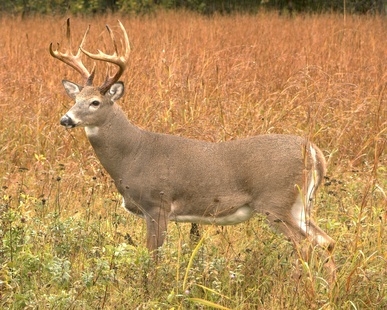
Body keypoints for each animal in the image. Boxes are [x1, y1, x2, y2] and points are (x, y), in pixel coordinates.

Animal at [50, 19, 336, 280]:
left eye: (95, 102)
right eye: (75, 99)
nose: (66, 119)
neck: (132, 154)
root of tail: (314, 152)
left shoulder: (158, 203)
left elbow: (153, 256)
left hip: (275, 200)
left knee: (305, 245)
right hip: (299, 204)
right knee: (326, 241)